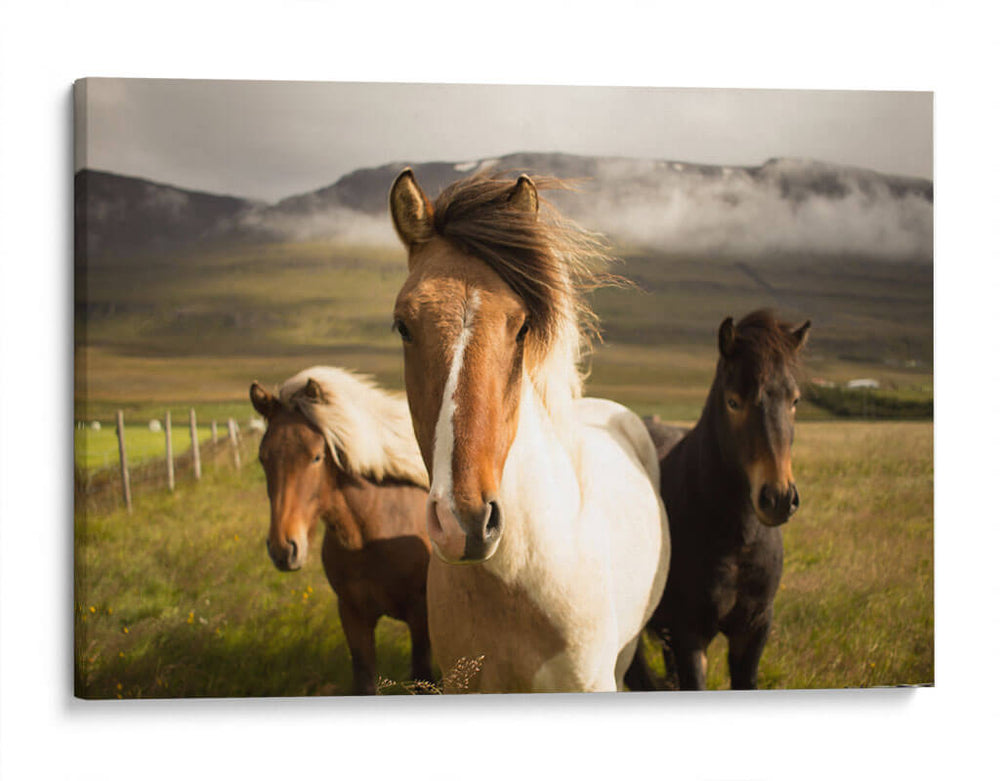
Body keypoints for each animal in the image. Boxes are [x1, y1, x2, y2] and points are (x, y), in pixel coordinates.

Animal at [249, 366, 433, 695]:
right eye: (263, 457)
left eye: (316, 456)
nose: (284, 549)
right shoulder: (352, 615)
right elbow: (364, 679)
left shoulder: (420, 617)